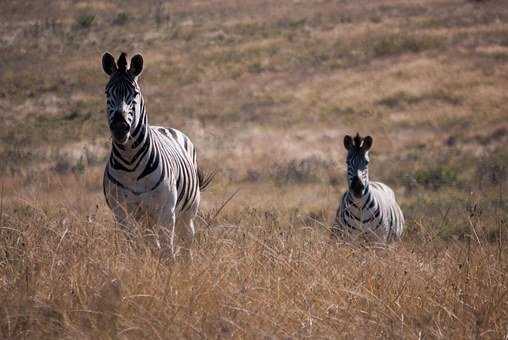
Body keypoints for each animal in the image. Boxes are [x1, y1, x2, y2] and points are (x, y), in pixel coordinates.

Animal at [101, 51, 212, 256]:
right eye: (107, 92)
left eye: (135, 93)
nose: (120, 128)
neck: (130, 163)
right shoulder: (121, 212)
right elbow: (137, 245)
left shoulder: (166, 210)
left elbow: (167, 250)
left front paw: (167, 264)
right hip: (146, 217)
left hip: (187, 213)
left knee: (186, 243)